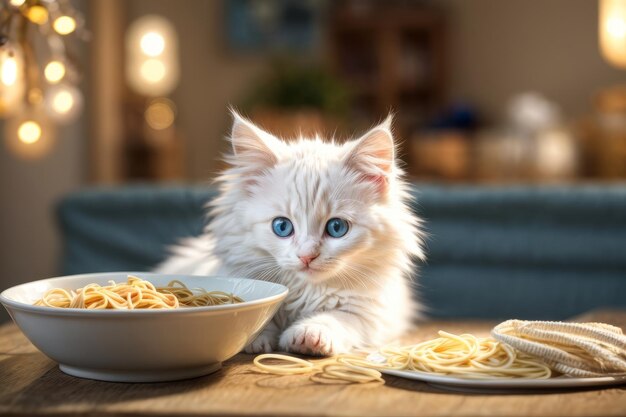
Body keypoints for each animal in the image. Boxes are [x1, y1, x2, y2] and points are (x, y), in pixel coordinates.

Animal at [155, 110, 424, 354]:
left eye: (337, 228)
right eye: (282, 227)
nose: (307, 256)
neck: (306, 291)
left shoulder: (370, 314)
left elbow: (336, 319)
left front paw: (308, 335)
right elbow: (262, 315)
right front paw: (256, 336)